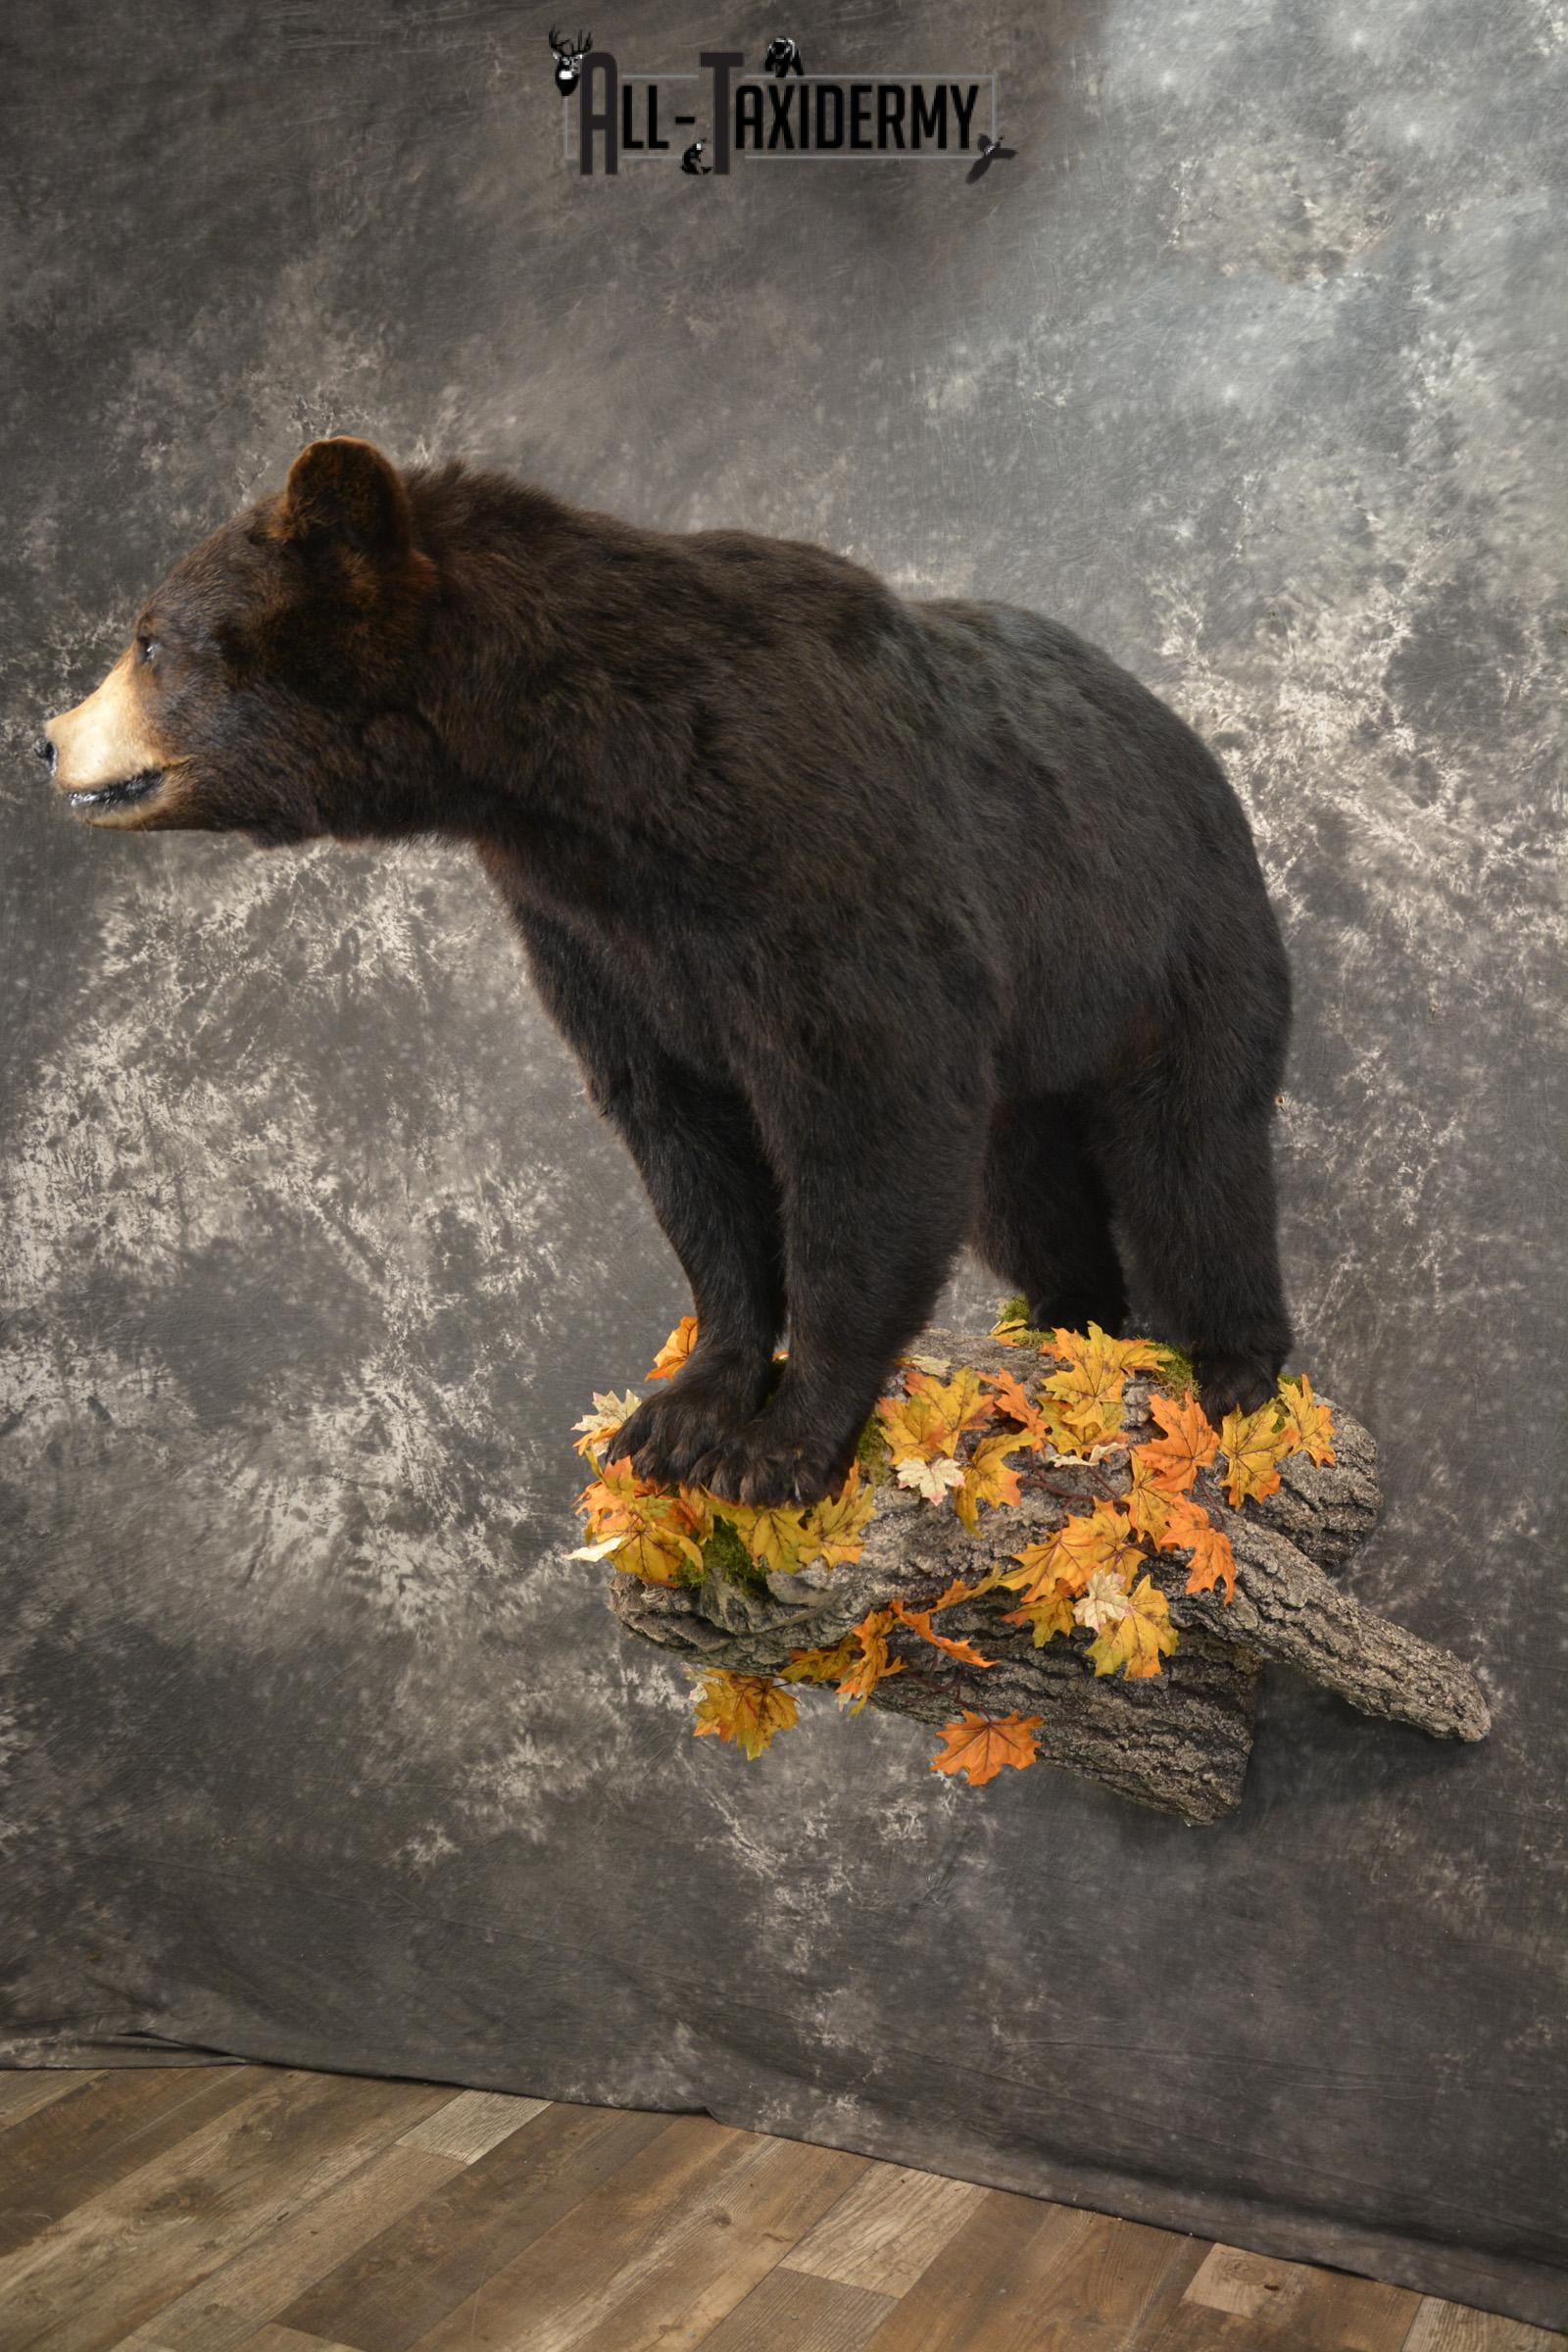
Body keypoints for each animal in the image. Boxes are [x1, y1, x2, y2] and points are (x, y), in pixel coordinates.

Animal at [37, 435, 1296, 1510]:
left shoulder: (831, 876)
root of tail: (1180, 733)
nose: (47, 738)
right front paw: (684, 1412)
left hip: (1165, 936)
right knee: (1021, 1189)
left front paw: (780, 1445)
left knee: (1193, 1155)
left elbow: (867, 1124)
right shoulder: (599, 939)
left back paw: (1231, 1372)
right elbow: (684, 1140)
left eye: (150, 639)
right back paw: (1066, 1327)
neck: (603, 784)